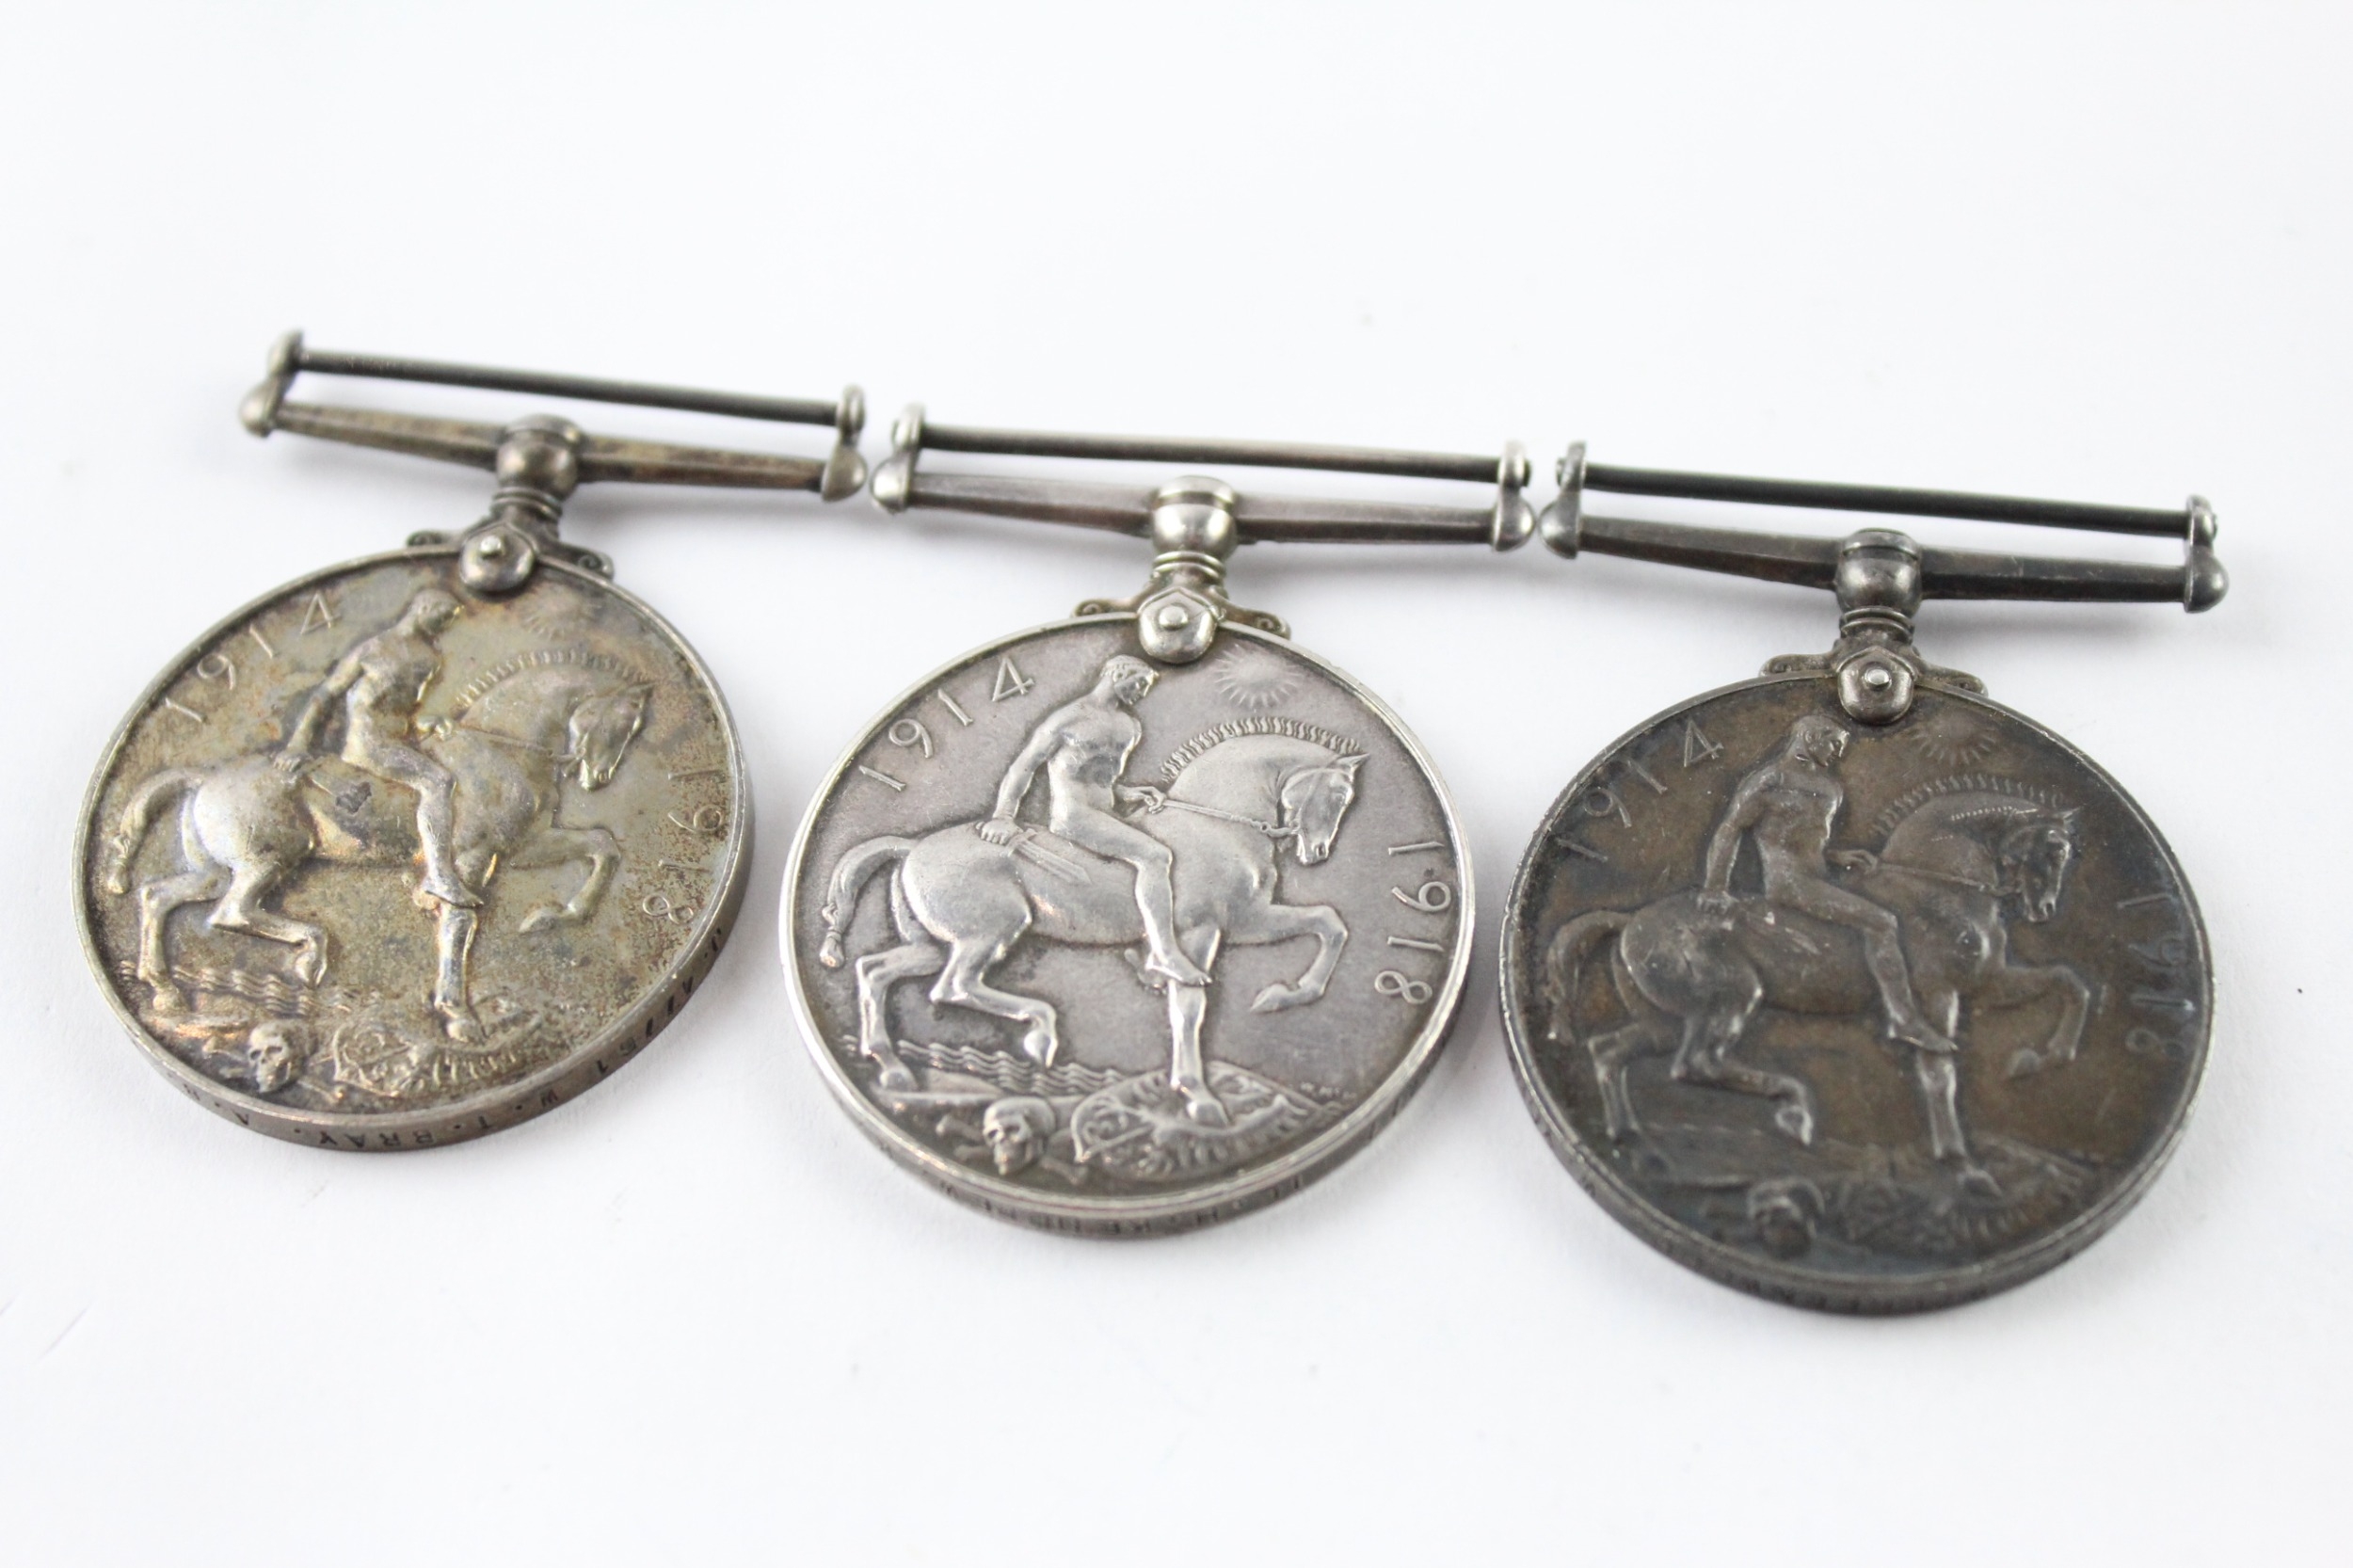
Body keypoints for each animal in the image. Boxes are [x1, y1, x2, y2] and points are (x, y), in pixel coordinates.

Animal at [101, 652, 651, 1044]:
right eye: (620, 719)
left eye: (634, 729)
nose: (598, 777)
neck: (501, 749)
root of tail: (203, 777)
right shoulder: (474, 856)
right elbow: (459, 920)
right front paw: (458, 1015)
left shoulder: (523, 845)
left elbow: (602, 846)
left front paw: (555, 916)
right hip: (270, 858)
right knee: (231, 913)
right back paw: (310, 954)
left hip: (213, 869)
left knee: (157, 896)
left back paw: (166, 992)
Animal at [815, 722, 1365, 1126]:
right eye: (1337, 795)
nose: (1317, 853)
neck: (1214, 824)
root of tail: (911, 846)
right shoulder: (1210, 929)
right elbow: (1190, 1006)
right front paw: (1199, 1096)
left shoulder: (1246, 921)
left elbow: (1330, 923)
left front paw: (1286, 994)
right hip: (992, 931)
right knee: (953, 987)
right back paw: (1040, 1031)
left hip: (932, 943)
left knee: (875, 971)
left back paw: (892, 1069)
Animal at [1541, 777, 2087, 1185]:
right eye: (2051, 849)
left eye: (2064, 853)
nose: (2043, 911)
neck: (1936, 887)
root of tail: (1629, 920)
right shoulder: (1940, 992)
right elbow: (1938, 1070)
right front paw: (1961, 1164)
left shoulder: (1987, 981)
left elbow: (2069, 982)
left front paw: (2041, 1058)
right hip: (1733, 995)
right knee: (1696, 1063)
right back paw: (1795, 1110)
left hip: (1664, 1020)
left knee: (1610, 1051)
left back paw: (1636, 1142)